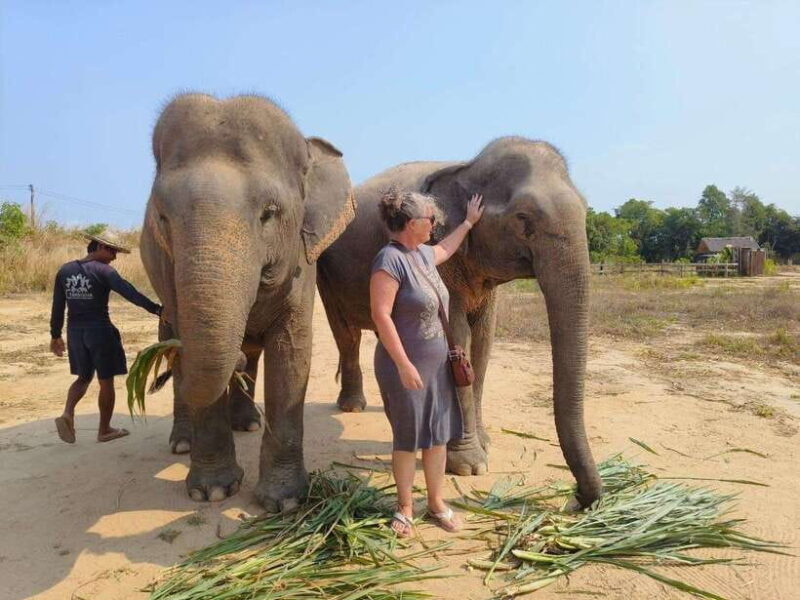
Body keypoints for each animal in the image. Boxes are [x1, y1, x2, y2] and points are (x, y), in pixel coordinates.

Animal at [140, 93, 356, 509]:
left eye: (269, 214)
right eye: (161, 217)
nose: (235, 358)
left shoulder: (302, 262)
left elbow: (291, 353)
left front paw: (285, 502)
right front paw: (212, 492)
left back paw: (248, 421)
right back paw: (183, 443)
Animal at [317, 136, 603, 507]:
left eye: (585, 209)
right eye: (523, 217)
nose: (579, 498)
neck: (467, 168)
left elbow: (482, 342)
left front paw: (485, 443)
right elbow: (457, 337)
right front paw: (469, 466)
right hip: (325, 270)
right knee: (346, 334)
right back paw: (353, 406)